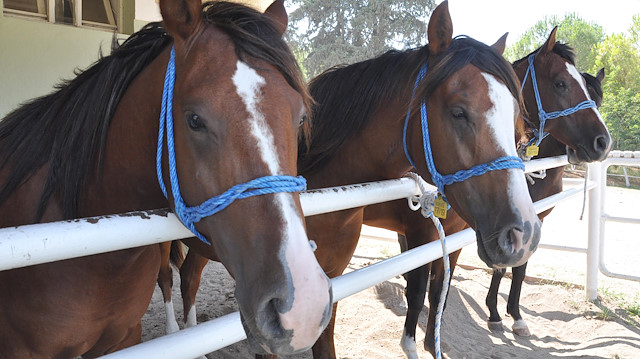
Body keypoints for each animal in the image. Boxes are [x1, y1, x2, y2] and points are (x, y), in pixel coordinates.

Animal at [362, 27, 612, 358]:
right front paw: (493, 316)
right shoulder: (424, 232)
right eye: (561, 83)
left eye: (597, 97)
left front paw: (509, 318)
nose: (602, 142)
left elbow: (485, 277)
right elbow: (421, 289)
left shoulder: (510, 229)